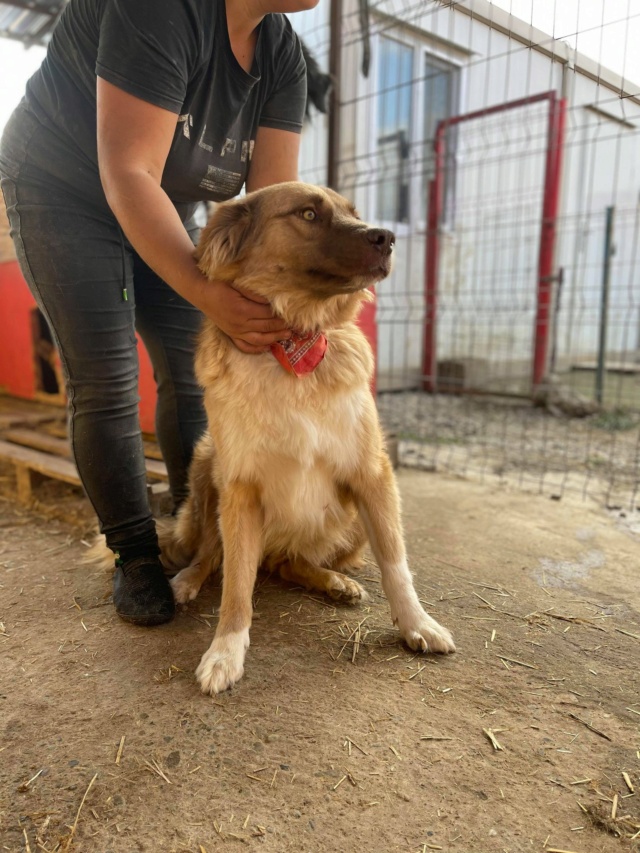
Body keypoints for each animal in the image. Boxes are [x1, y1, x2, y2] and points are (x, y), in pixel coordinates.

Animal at [165, 185, 456, 692]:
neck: (293, 341)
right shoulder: (239, 488)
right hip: (206, 468)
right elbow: (236, 584)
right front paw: (225, 651)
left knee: (289, 563)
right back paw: (186, 580)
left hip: (352, 521)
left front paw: (417, 623)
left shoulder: (373, 474)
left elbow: (396, 563)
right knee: (211, 553)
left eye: (354, 213)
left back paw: (334, 582)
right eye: (307, 214)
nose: (387, 237)